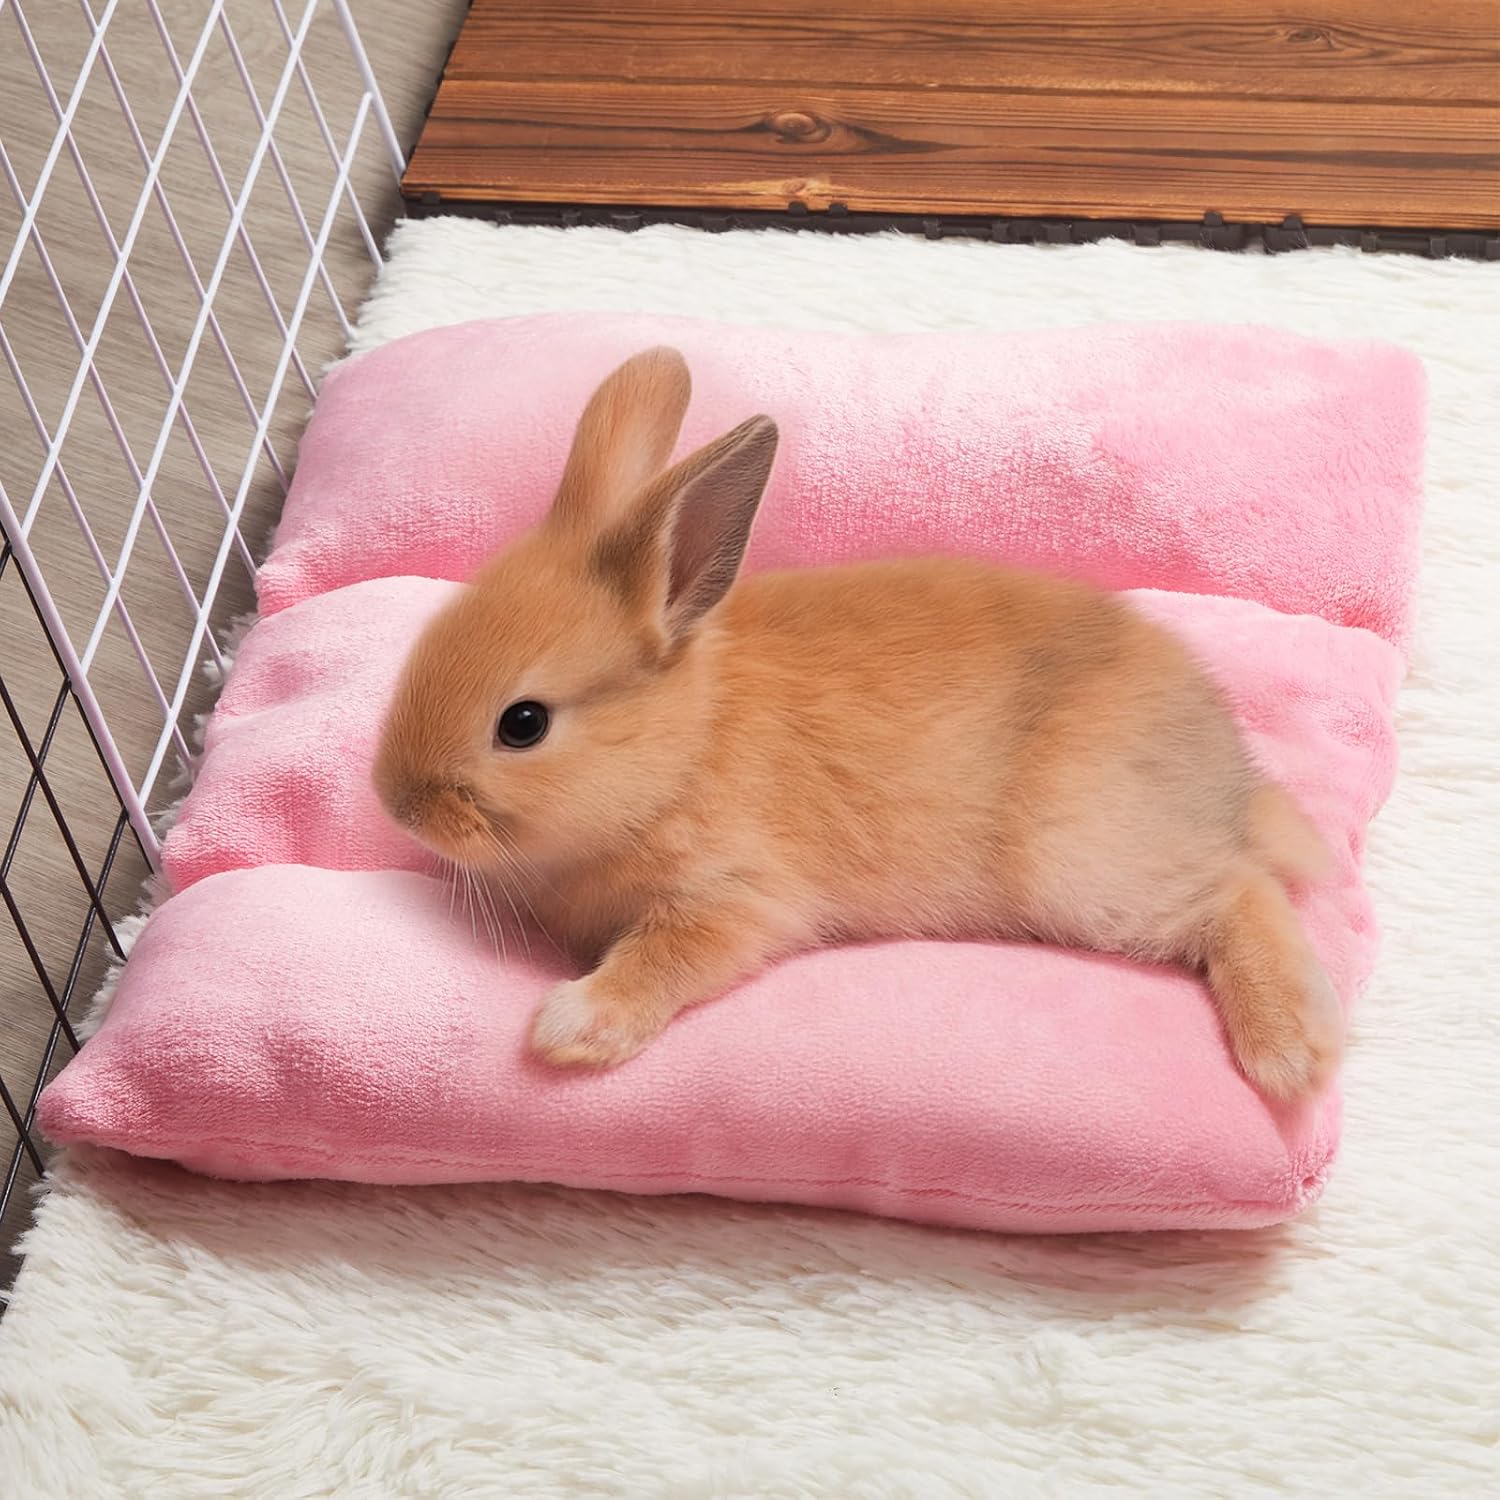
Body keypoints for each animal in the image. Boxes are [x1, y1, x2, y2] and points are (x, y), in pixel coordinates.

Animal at [374, 346, 1342, 1100]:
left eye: (523, 724)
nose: (396, 804)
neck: (685, 743)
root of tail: (1230, 781)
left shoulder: (738, 898)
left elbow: (669, 959)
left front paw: (570, 1026)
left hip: (1082, 858)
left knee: (1238, 889)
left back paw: (1291, 1054)